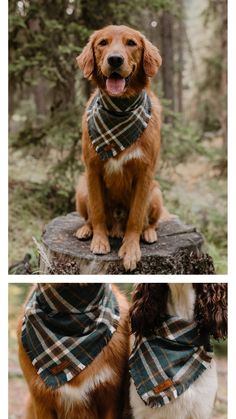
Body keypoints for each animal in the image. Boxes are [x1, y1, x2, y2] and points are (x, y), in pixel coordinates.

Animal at [75, 25, 164, 272]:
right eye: (102, 43)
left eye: (131, 43)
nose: (115, 59)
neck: (119, 110)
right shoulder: (92, 170)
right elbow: (97, 212)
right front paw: (99, 241)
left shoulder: (144, 173)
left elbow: (135, 217)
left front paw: (131, 250)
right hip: (81, 188)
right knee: (93, 217)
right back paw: (87, 230)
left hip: (156, 193)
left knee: (148, 222)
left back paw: (148, 233)